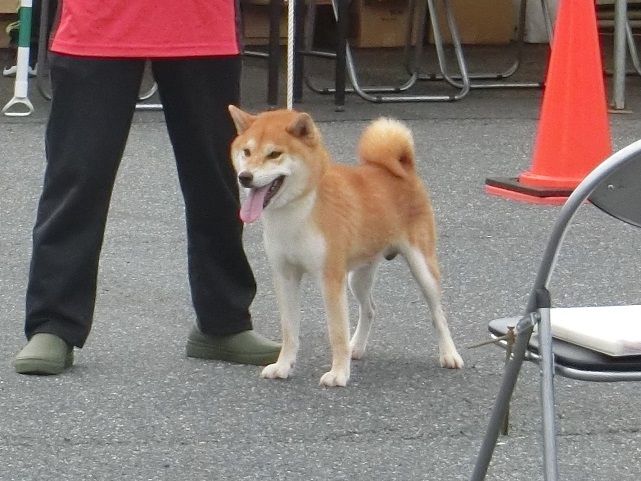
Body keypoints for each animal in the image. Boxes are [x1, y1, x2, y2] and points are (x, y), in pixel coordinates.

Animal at [228, 106, 462, 386]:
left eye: (274, 154)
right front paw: (283, 366)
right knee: (370, 309)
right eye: (247, 152)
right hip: (357, 277)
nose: (245, 177)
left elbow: (337, 332)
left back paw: (449, 354)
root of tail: (403, 170)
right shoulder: (285, 276)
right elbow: (289, 331)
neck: (298, 211)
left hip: (421, 268)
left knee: (438, 315)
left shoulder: (330, 278)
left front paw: (338, 373)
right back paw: (356, 348)